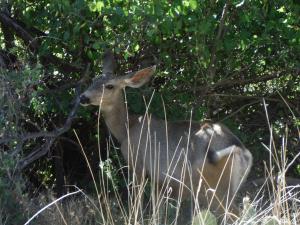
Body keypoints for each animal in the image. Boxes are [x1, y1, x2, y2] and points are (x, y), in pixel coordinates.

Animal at [79, 50, 253, 223]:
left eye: (110, 86)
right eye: (93, 80)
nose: (83, 97)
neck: (127, 128)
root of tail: (241, 150)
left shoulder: (138, 163)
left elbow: (137, 201)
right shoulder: (160, 181)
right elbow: (159, 209)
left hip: (214, 186)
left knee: (234, 214)